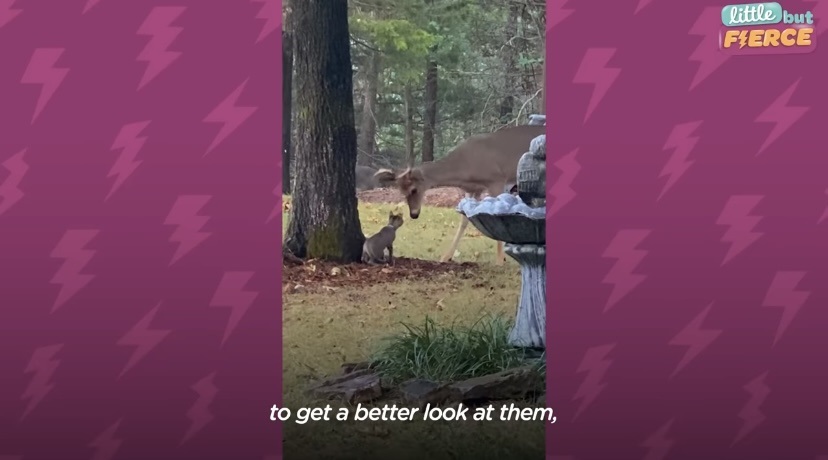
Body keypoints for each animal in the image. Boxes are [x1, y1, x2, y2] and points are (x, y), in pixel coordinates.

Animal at [374, 124, 544, 266]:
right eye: (402, 192)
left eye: (414, 190)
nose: (414, 214)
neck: (464, 167)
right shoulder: (473, 189)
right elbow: (464, 219)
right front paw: (445, 257)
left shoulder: (496, 180)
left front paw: (500, 260)